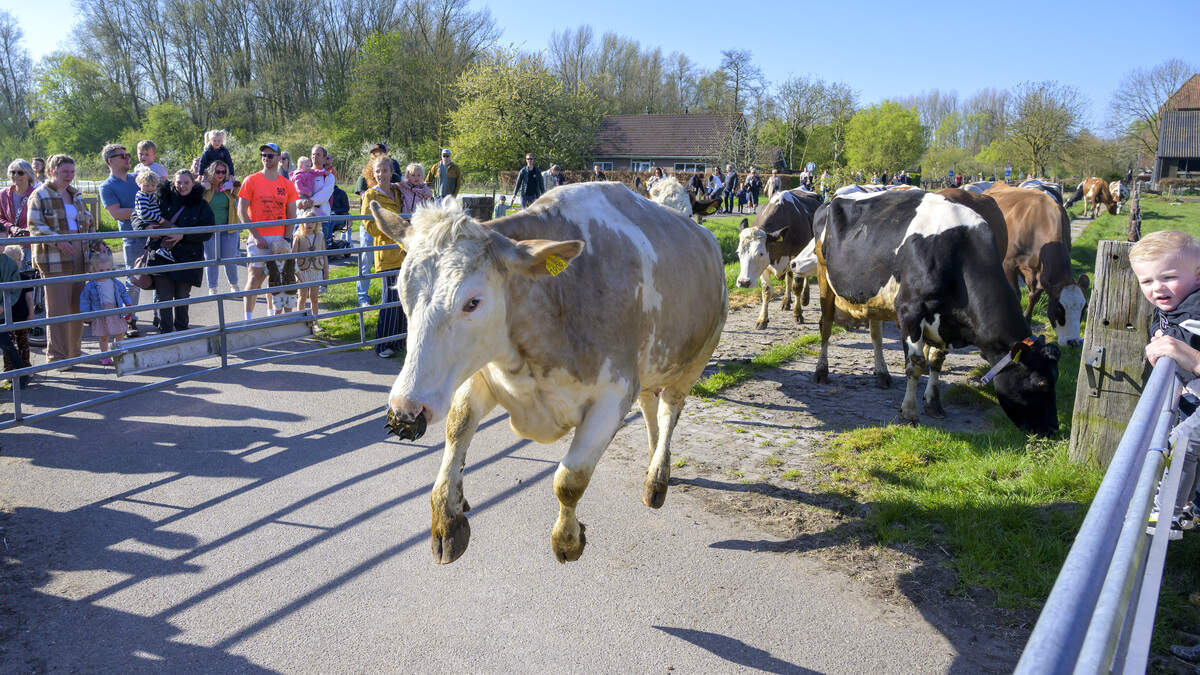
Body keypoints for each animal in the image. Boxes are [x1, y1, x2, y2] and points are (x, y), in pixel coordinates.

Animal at [371, 183, 727, 564]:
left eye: (472, 302)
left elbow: (570, 478)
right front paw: (447, 519)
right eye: (401, 292)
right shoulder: (484, 373)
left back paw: (657, 478)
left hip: (695, 360)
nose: (405, 409)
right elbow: (458, 428)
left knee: (669, 409)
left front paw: (567, 540)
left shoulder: (614, 394)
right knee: (649, 404)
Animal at [735, 188, 824, 328]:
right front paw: (762, 319)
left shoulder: (797, 256)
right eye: (738, 252)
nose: (743, 282)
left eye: (760, 253)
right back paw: (786, 302)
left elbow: (797, 287)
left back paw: (805, 298)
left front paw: (798, 314)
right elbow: (766, 291)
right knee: (788, 277)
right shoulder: (766, 266)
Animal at [811, 189, 1060, 435]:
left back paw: (882, 374)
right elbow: (916, 364)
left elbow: (936, 361)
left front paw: (933, 403)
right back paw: (822, 371)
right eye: (1041, 383)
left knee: (876, 335)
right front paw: (909, 414)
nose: (1053, 430)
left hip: (873, 297)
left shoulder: (946, 321)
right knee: (825, 327)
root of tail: (831, 200)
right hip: (824, 277)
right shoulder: (910, 311)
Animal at [985, 182, 1089, 346]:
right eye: (1059, 309)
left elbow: (1034, 297)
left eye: (1084, 309)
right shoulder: (1009, 263)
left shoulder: (1041, 274)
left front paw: (1027, 323)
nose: (1073, 342)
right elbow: (1016, 294)